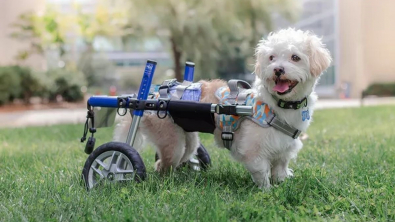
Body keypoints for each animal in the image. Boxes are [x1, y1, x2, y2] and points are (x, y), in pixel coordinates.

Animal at [113, 28, 332, 189]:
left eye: (295, 57)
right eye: (272, 58)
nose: (278, 69)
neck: (279, 105)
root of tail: (150, 96)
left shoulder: (283, 149)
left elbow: (279, 170)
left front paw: (281, 185)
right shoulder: (254, 152)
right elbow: (262, 174)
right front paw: (267, 192)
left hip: (187, 140)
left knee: (182, 158)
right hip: (172, 143)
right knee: (162, 166)